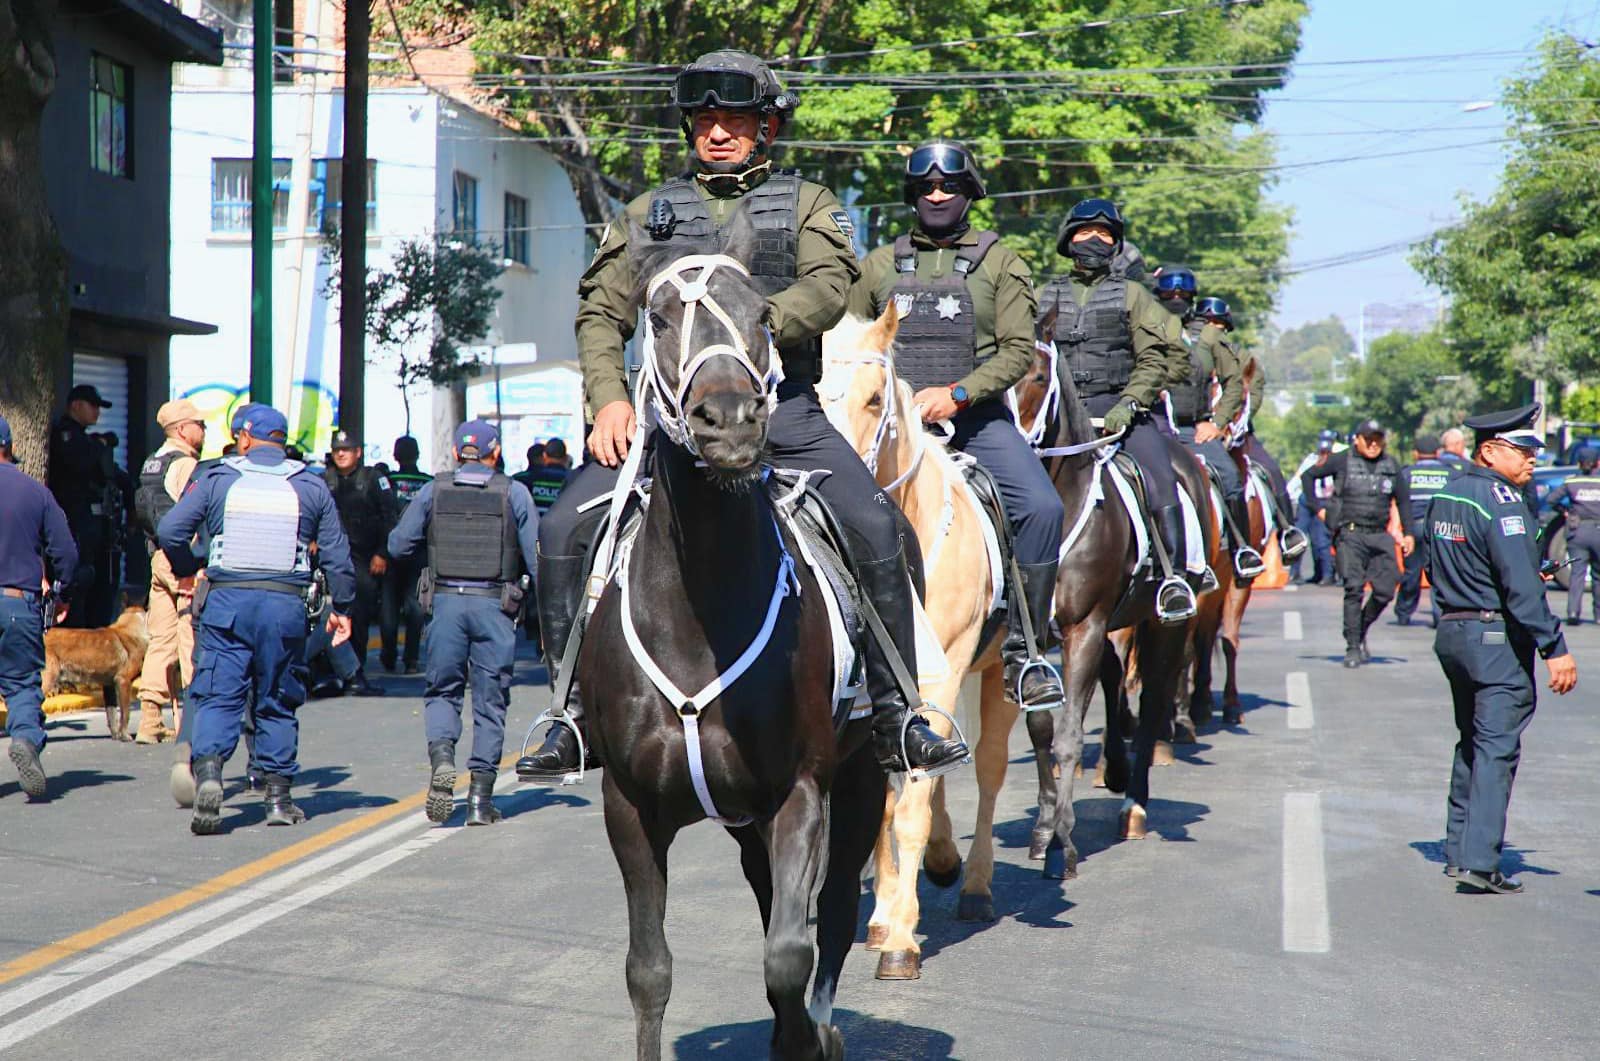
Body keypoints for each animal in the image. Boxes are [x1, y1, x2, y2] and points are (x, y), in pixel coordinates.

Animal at [43, 611, 149, 742]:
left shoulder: (109, 685)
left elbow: (112, 714)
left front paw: (116, 736)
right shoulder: (124, 681)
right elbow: (125, 714)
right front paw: (125, 736)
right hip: (47, 679)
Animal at [585, 217, 889, 1061]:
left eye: (762, 315)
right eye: (658, 319)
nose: (729, 424)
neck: (703, 611)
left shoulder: (803, 794)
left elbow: (790, 954)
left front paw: (810, 1034)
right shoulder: (630, 807)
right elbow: (648, 970)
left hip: (861, 784)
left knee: (835, 914)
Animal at [825, 305, 1011, 979]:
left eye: (875, 398)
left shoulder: (943, 675)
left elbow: (909, 808)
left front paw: (902, 940)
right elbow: (887, 802)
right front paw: (883, 917)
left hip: (998, 675)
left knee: (988, 768)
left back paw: (976, 884)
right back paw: (941, 860)